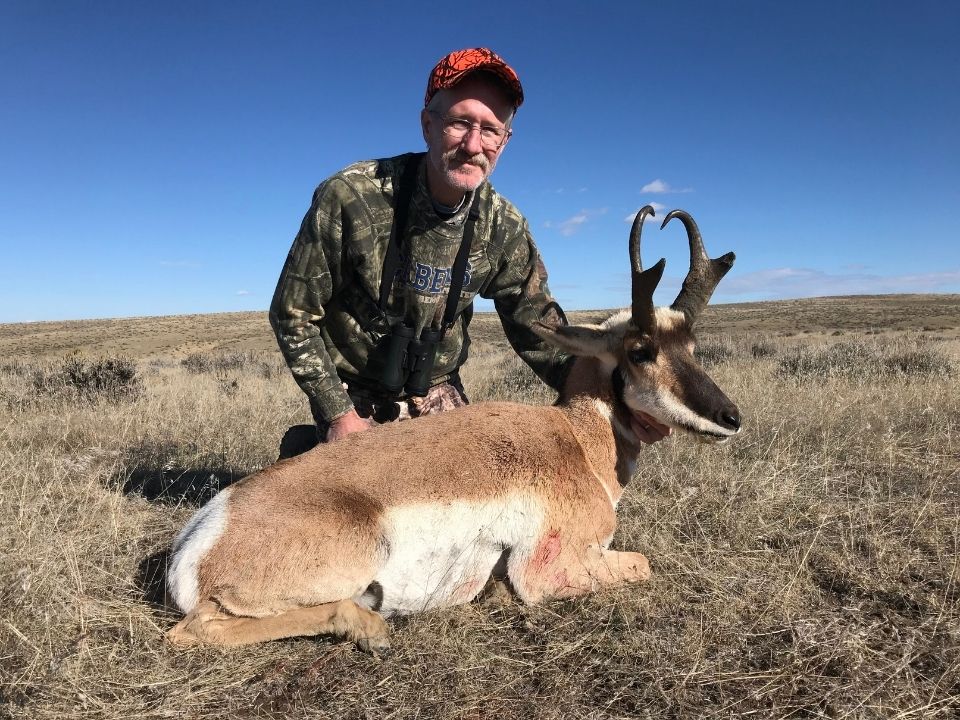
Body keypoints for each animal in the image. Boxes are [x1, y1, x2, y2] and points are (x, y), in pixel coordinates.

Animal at [165, 205, 741, 654]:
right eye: (641, 350)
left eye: (692, 346)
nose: (731, 419)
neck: (575, 440)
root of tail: (202, 536)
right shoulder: (551, 570)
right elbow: (643, 562)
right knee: (195, 630)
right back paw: (368, 626)